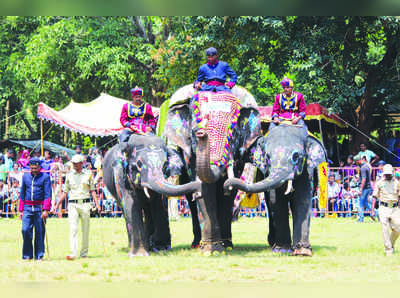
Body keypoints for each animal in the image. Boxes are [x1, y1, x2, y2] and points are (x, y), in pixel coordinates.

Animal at [161, 84, 260, 254]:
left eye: (233, 134)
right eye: (194, 132)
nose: (202, 133)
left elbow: (229, 192)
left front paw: (225, 245)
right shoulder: (189, 152)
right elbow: (202, 187)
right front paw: (210, 248)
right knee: (190, 198)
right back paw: (196, 243)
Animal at [223, 122, 326, 255]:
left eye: (296, 156)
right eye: (267, 157)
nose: (227, 187)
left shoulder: (307, 170)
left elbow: (302, 200)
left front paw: (302, 252)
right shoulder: (268, 172)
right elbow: (276, 201)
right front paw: (282, 250)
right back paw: (273, 243)